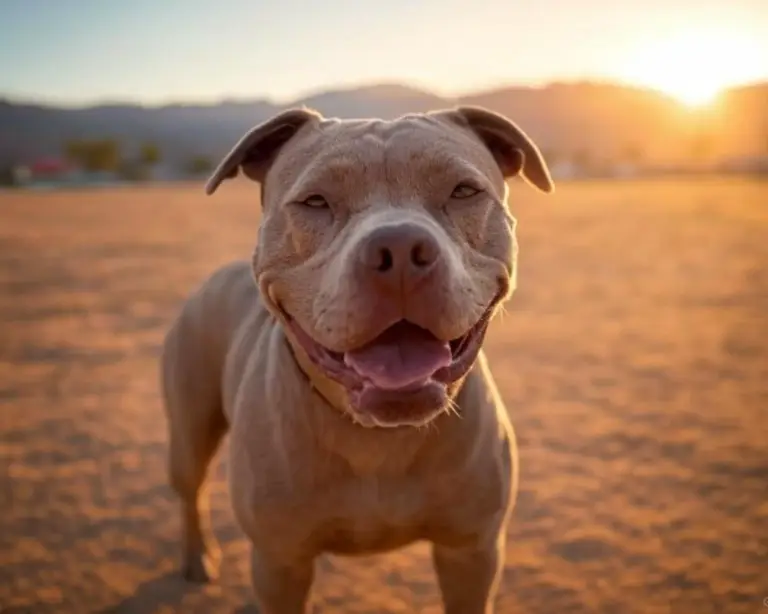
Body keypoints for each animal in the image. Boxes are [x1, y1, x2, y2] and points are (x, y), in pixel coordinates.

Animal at [160, 103, 552, 612]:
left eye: (464, 191)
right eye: (314, 202)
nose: (400, 248)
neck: (376, 437)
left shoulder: (471, 553)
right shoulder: (280, 564)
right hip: (189, 432)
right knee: (191, 490)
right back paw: (197, 557)